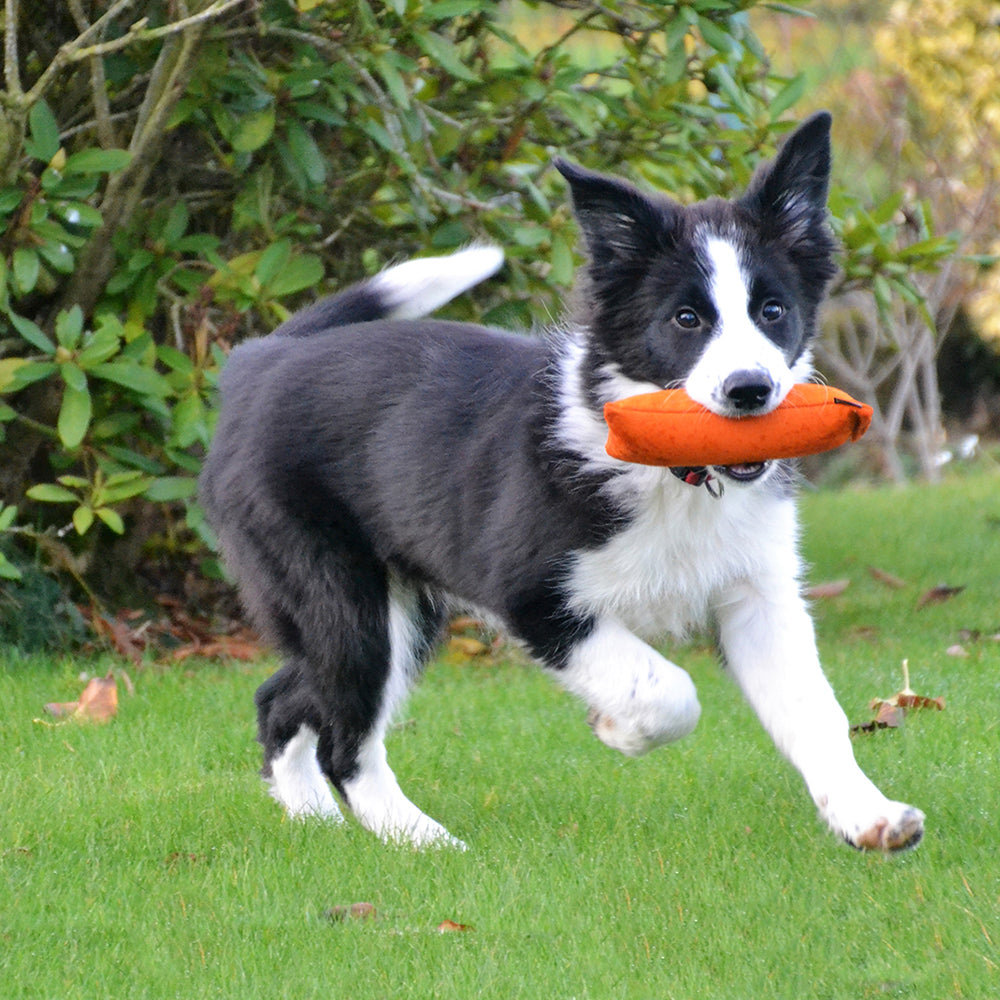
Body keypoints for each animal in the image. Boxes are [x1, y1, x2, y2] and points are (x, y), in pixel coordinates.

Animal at [199, 115, 924, 852]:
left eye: (773, 310)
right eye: (686, 319)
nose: (750, 391)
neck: (678, 476)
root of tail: (262, 359)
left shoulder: (759, 597)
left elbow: (814, 714)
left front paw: (871, 817)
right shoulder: (534, 598)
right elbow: (669, 690)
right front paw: (620, 731)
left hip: (395, 604)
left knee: (283, 700)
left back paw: (312, 821)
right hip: (340, 592)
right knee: (345, 738)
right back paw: (422, 842)